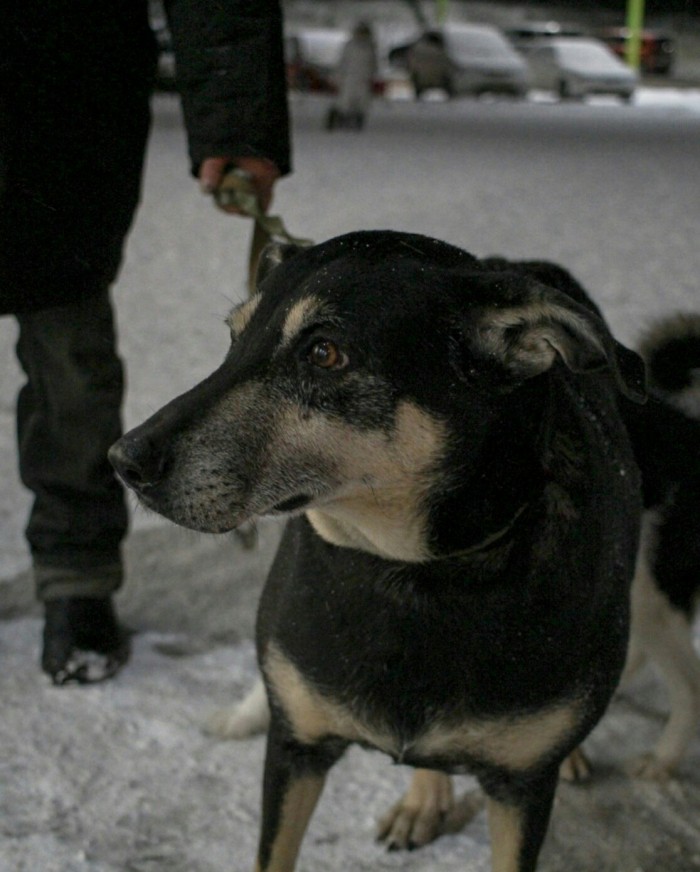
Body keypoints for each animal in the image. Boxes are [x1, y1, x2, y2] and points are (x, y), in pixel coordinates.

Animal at [109, 232, 644, 872]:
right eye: (234, 338)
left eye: (323, 353)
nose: (124, 460)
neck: (410, 569)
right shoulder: (296, 746)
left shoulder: (522, 789)